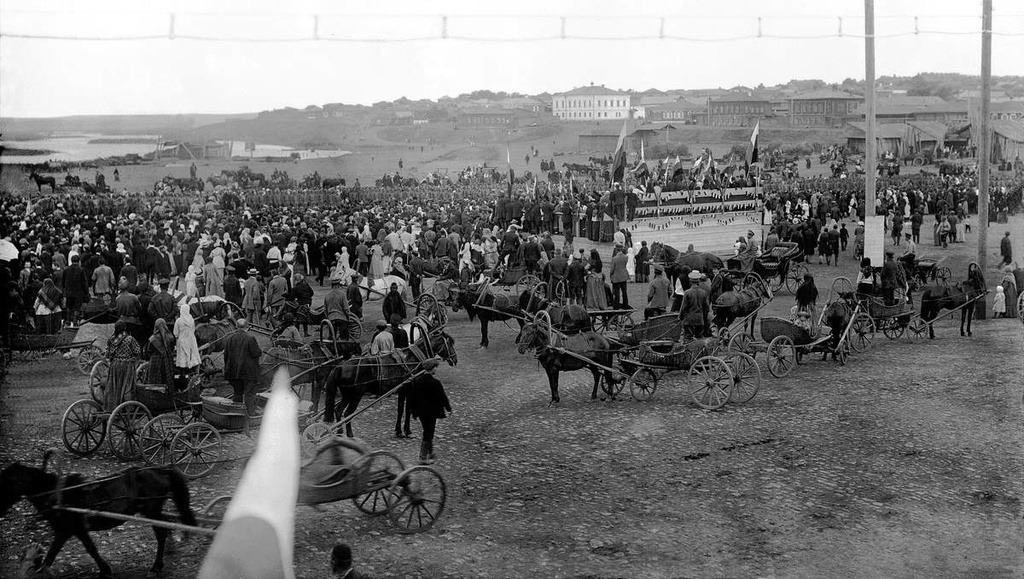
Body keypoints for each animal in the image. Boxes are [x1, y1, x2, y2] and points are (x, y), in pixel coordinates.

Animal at [0, 450, 197, 577]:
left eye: (6, 483)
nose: (0, 509)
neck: (57, 494)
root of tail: (159, 470)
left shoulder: (70, 530)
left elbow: (75, 550)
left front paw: (105, 570)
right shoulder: (71, 531)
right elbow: (69, 551)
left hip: (151, 510)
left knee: (161, 533)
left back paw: (156, 566)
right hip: (154, 511)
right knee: (166, 527)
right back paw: (169, 553)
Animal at [319, 317, 456, 436]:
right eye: (450, 344)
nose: (455, 359)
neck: (413, 358)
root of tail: (339, 367)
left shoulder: (402, 390)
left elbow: (400, 409)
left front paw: (399, 431)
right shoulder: (409, 389)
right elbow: (407, 409)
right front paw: (407, 431)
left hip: (347, 395)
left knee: (338, 410)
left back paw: (340, 433)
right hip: (356, 395)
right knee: (347, 413)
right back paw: (349, 434)